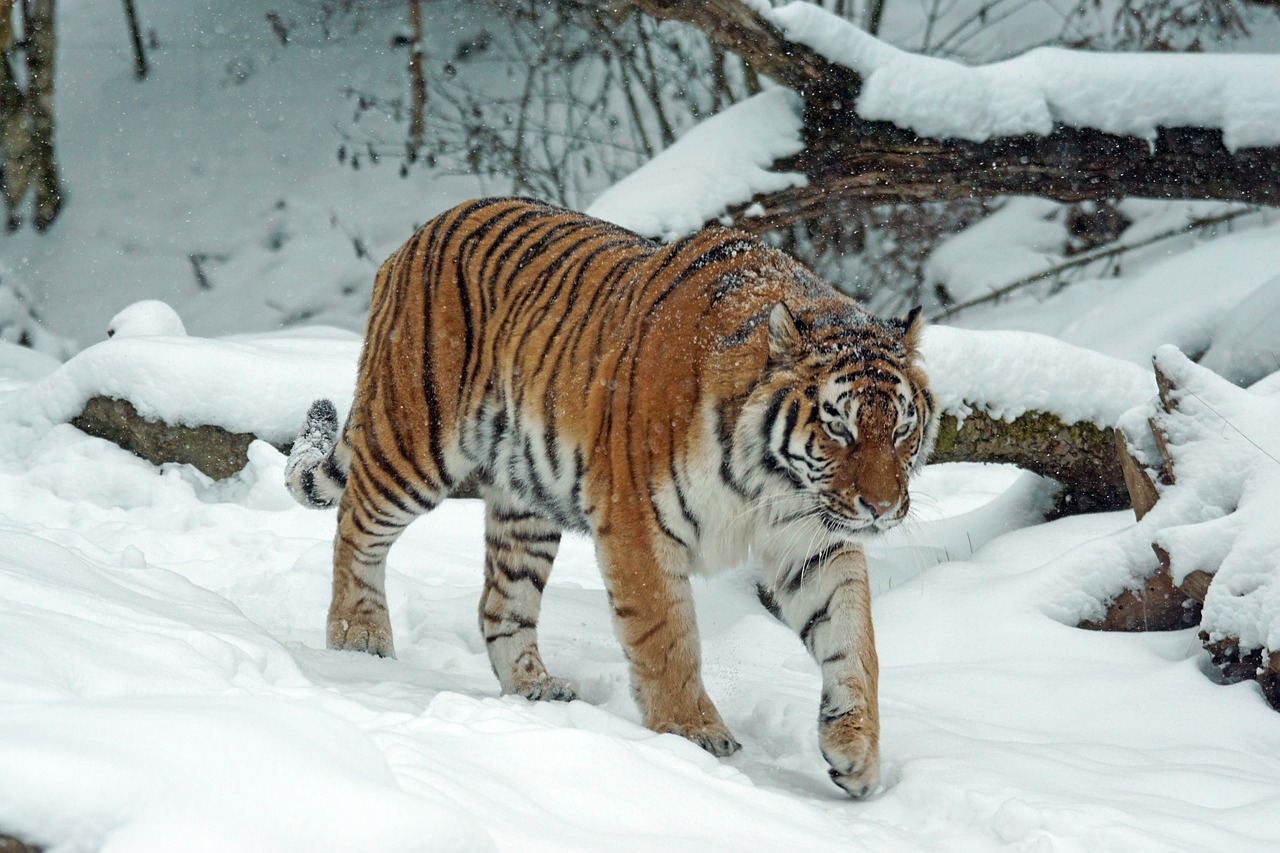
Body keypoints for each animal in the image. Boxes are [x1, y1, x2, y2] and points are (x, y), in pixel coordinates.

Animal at [285, 195, 936, 794]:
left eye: (902, 428)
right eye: (838, 427)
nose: (881, 509)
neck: (771, 482)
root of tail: (421, 231)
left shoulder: (812, 540)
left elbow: (853, 639)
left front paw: (856, 751)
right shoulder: (637, 525)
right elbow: (667, 638)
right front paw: (692, 735)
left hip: (526, 501)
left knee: (500, 601)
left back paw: (534, 688)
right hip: (414, 438)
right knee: (356, 527)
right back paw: (358, 641)